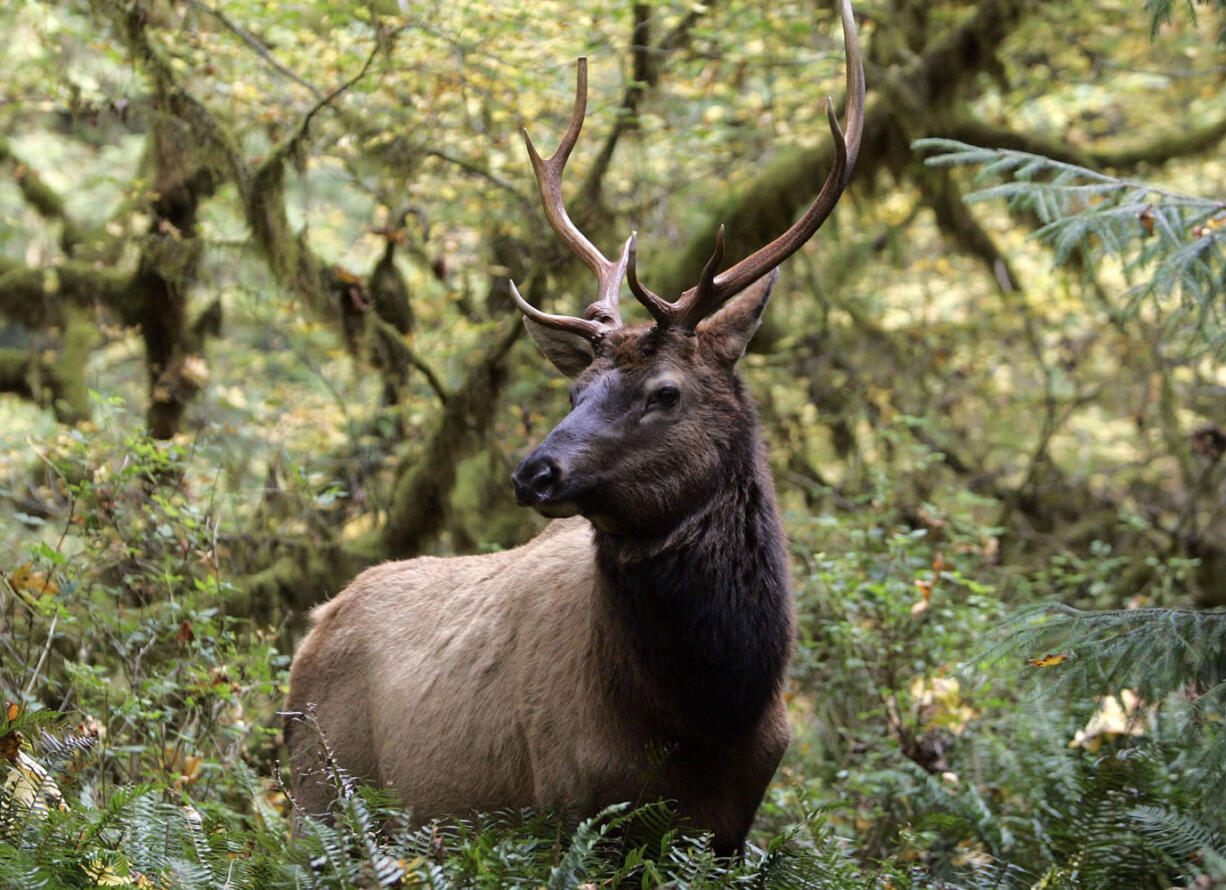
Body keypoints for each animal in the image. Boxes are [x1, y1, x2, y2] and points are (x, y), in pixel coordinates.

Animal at [285, 0, 863, 858]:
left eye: (665, 392)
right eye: (574, 390)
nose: (535, 472)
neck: (710, 719)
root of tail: (313, 628)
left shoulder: (731, 829)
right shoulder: (567, 806)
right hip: (321, 800)